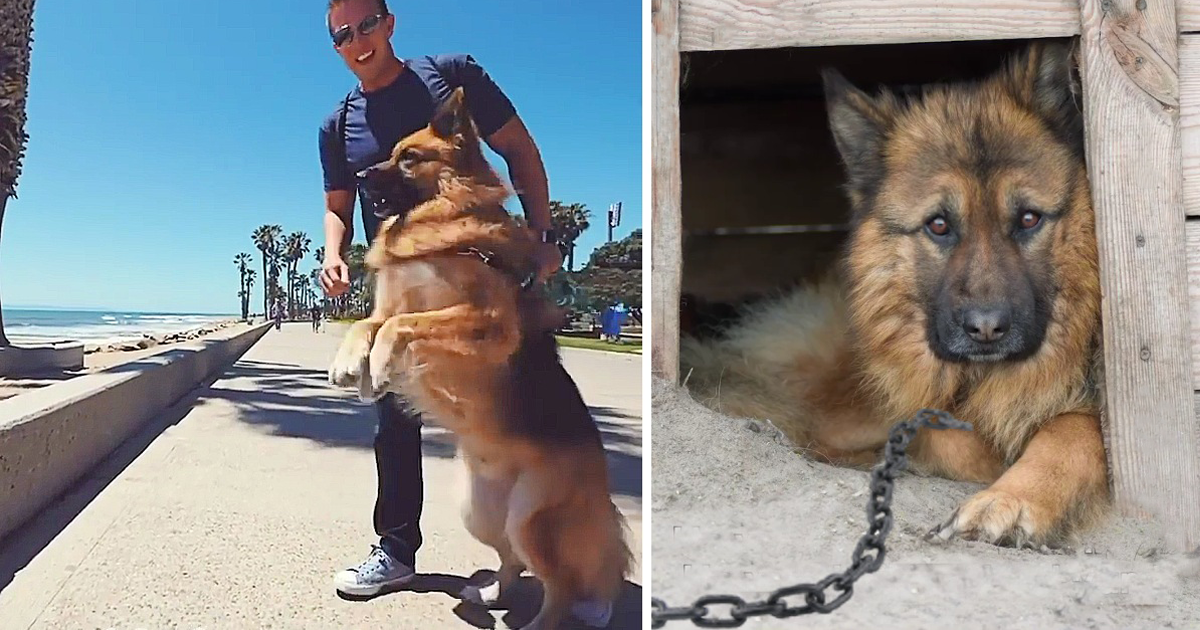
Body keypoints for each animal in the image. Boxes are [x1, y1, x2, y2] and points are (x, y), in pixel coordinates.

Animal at [324, 88, 633, 628]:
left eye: (409, 157)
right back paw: (489, 594)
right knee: (512, 561)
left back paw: (538, 622)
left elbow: (402, 327)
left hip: (533, 521)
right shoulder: (387, 305)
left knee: (559, 586)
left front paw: (379, 366)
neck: (439, 218)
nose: (357, 176)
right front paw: (350, 365)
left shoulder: (485, 321)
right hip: (482, 512)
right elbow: (369, 324)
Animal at [681, 41, 1108, 547]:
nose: (986, 328)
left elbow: (1073, 430)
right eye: (939, 225)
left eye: (1028, 219)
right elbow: (945, 433)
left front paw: (1011, 498)